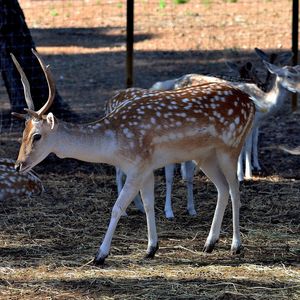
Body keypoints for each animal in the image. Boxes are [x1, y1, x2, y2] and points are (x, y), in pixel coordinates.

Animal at [11, 49, 255, 264]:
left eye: (37, 136)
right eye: (22, 133)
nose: (18, 165)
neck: (114, 143)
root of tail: (251, 102)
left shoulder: (138, 166)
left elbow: (117, 207)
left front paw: (100, 255)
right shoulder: (146, 168)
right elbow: (148, 204)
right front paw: (151, 249)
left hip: (231, 147)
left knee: (235, 190)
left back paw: (236, 246)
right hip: (205, 156)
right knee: (222, 188)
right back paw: (209, 244)